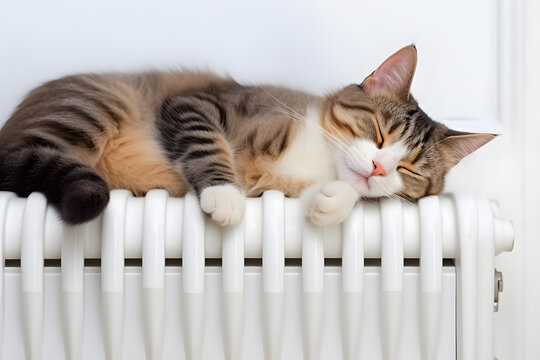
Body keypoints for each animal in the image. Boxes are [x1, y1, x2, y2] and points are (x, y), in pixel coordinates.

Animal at [0, 44, 494, 225]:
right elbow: (208, 144)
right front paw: (224, 195)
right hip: (94, 106)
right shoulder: (196, 104)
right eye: (378, 134)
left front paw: (335, 201)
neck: (318, 159)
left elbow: (347, 195)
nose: (377, 166)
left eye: (408, 169)